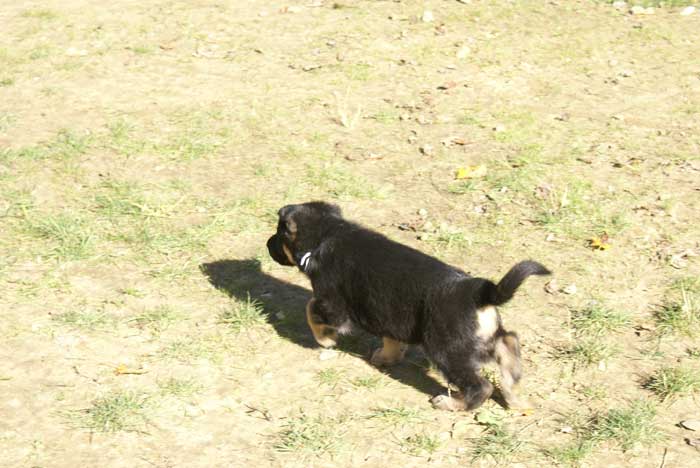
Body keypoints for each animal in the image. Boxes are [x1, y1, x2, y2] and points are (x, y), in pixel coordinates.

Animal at [266, 201, 548, 410]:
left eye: (278, 234)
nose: (267, 244)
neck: (329, 235)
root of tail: (481, 294)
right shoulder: (388, 314)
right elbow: (391, 340)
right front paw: (386, 358)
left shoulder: (333, 305)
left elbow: (311, 309)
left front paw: (326, 340)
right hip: (482, 338)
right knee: (509, 341)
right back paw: (513, 392)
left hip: (446, 349)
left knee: (480, 386)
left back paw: (452, 403)